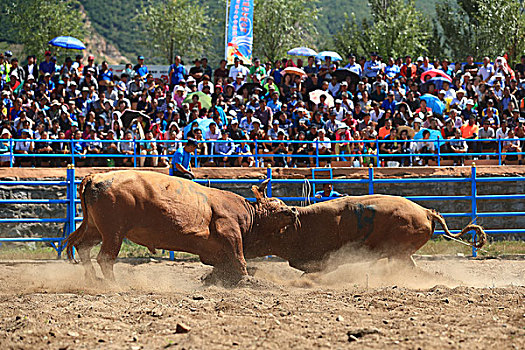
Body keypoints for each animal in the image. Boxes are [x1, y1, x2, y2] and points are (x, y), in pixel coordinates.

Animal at [64, 170, 298, 282]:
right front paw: (246, 281)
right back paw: (113, 283)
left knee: (83, 247)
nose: (294, 210)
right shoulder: (230, 232)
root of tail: (95, 176)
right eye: (278, 204)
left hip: (96, 229)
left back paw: (92, 278)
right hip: (114, 232)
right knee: (105, 258)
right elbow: (239, 260)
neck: (249, 213)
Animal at [244, 194, 486, 274]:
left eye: (264, 228)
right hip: (400, 254)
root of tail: (426, 212)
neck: (300, 226)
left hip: (398, 253)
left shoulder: (325, 262)